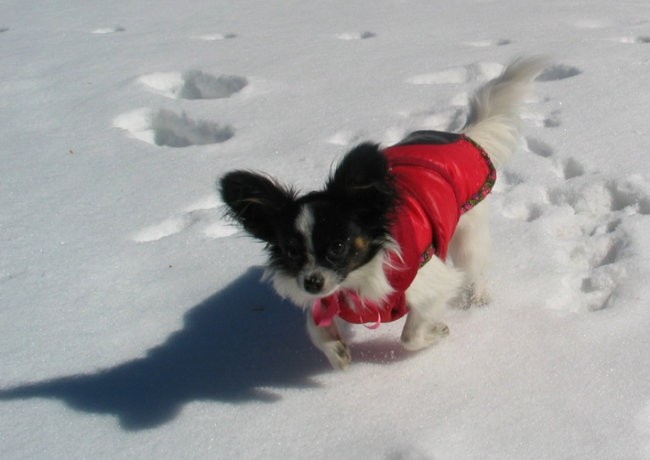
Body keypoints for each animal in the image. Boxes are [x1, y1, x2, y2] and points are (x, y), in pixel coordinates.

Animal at [218, 55, 548, 368]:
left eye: (338, 246)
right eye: (291, 251)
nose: (312, 282)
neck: (354, 281)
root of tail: (462, 137)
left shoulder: (431, 282)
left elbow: (410, 335)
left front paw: (438, 331)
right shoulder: (324, 301)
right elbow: (315, 326)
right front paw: (336, 352)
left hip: (468, 232)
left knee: (474, 267)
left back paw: (476, 298)